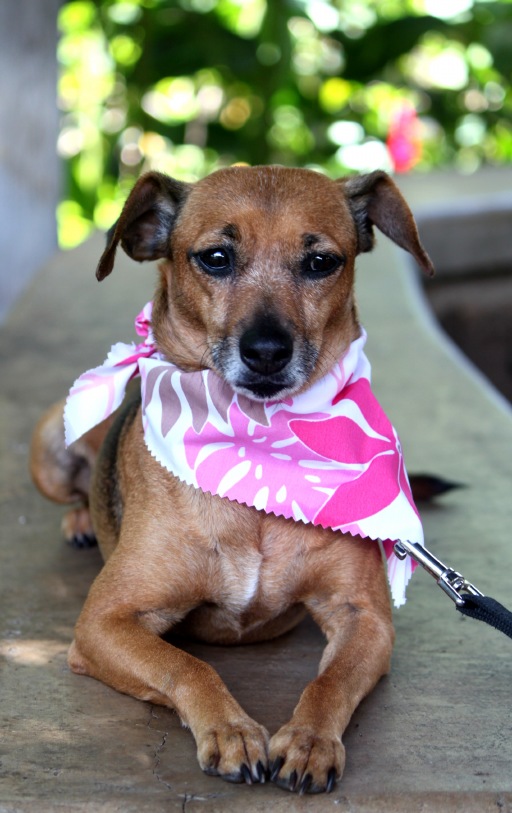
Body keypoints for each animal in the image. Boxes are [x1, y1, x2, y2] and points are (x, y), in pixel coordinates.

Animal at [30, 165, 434, 792]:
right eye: (215, 258)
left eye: (321, 262)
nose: (266, 350)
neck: (257, 446)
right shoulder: (104, 622)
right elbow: (187, 664)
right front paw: (232, 730)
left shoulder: (364, 618)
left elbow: (331, 681)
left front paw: (311, 740)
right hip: (52, 443)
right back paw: (80, 521)